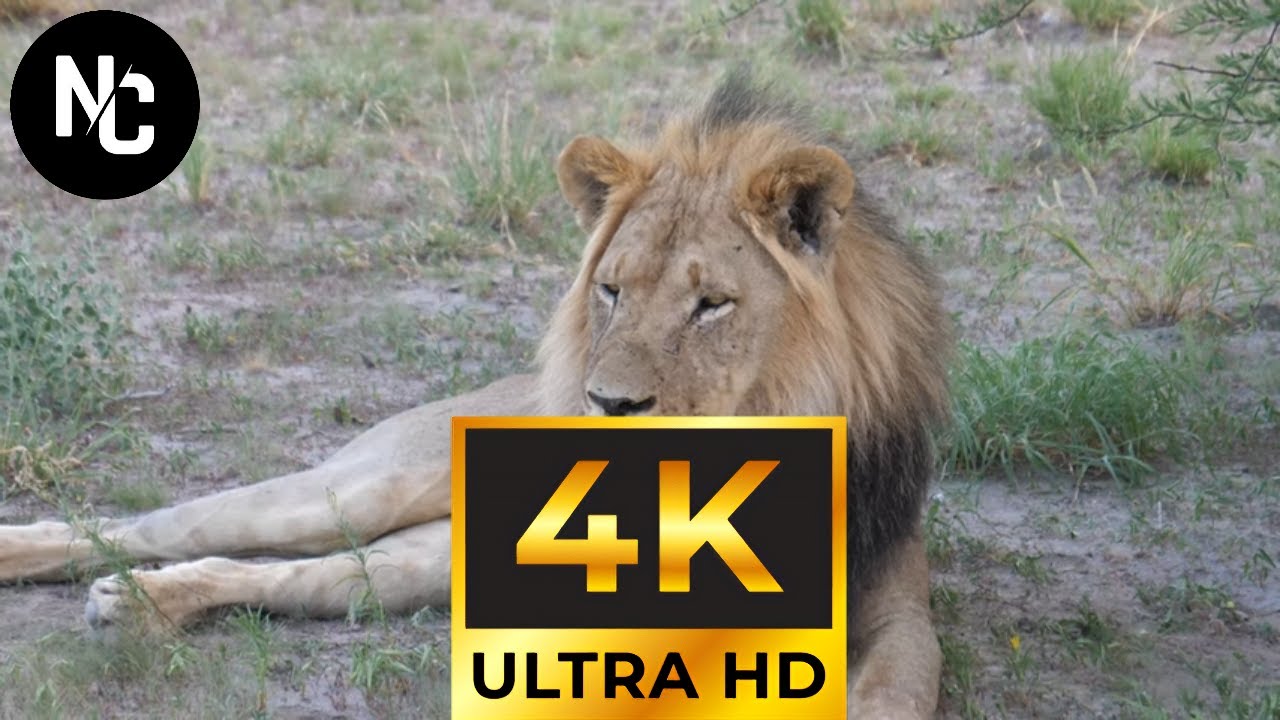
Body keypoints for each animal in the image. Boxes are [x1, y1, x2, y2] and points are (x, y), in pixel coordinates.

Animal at [0, 71, 948, 718]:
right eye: (612, 291)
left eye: (711, 303)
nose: (606, 404)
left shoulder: (897, 607)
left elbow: (901, 685)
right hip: (362, 485)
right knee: (167, 527)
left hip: (420, 564)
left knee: (301, 577)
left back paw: (141, 604)